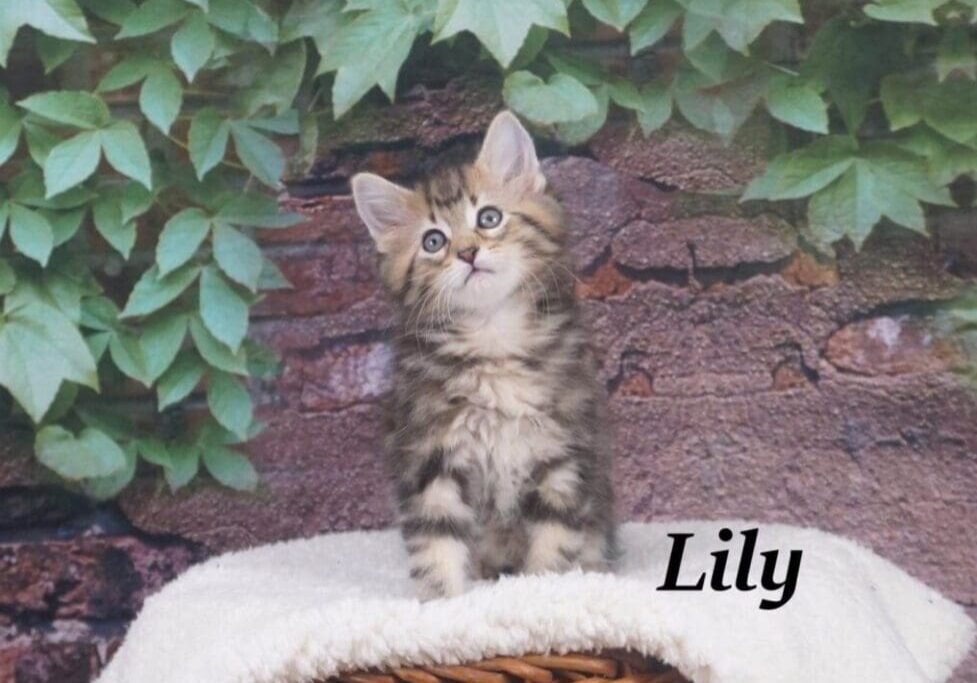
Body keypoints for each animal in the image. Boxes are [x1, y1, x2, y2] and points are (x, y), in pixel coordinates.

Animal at [346, 112, 612, 600]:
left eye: (489, 218)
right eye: (434, 241)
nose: (468, 252)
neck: (492, 336)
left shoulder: (564, 451)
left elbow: (555, 542)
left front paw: (543, 596)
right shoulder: (429, 453)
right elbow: (436, 542)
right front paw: (443, 606)